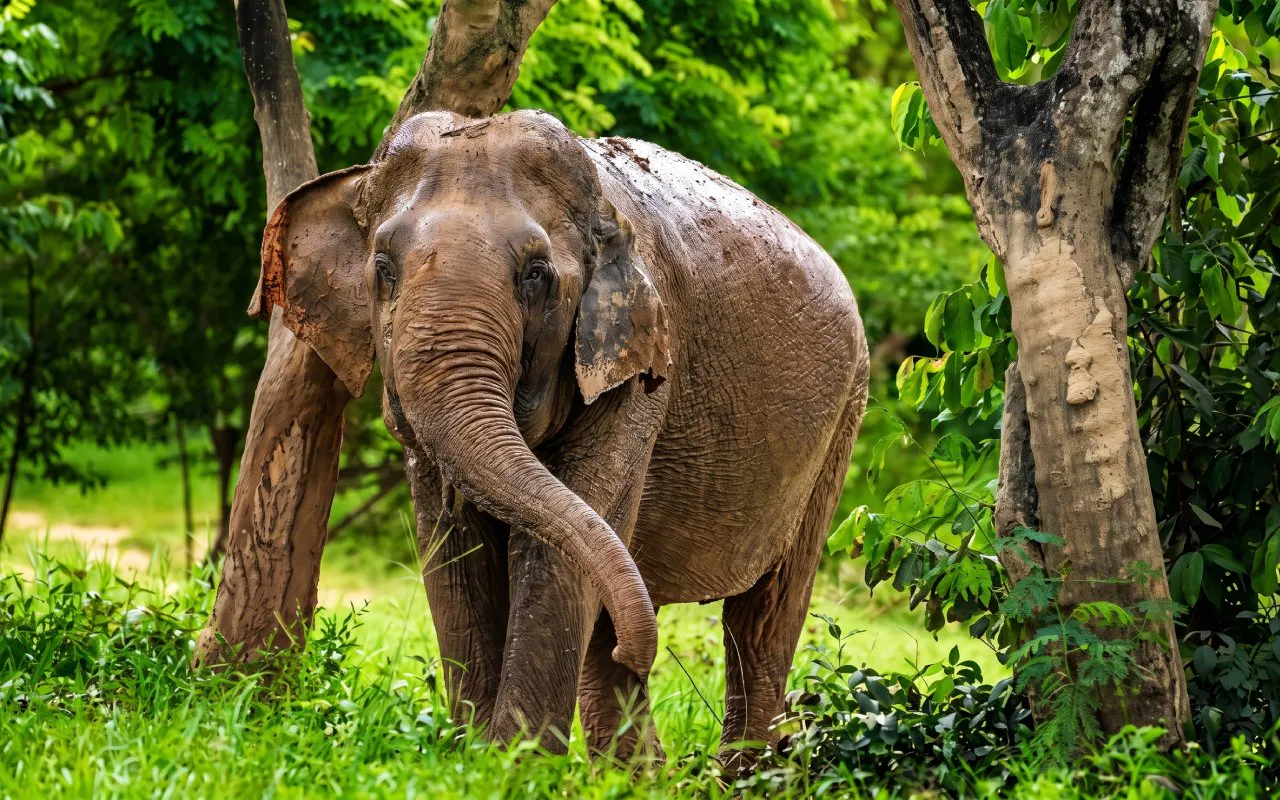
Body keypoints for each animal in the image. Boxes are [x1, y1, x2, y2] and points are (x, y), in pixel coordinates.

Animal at [250, 109, 869, 761]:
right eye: (384, 268)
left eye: (536, 275)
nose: (642, 648)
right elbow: (454, 548)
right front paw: (476, 758)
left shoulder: (640, 369)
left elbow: (554, 554)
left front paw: (509, 765)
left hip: (842, 421)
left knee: (760, 617)